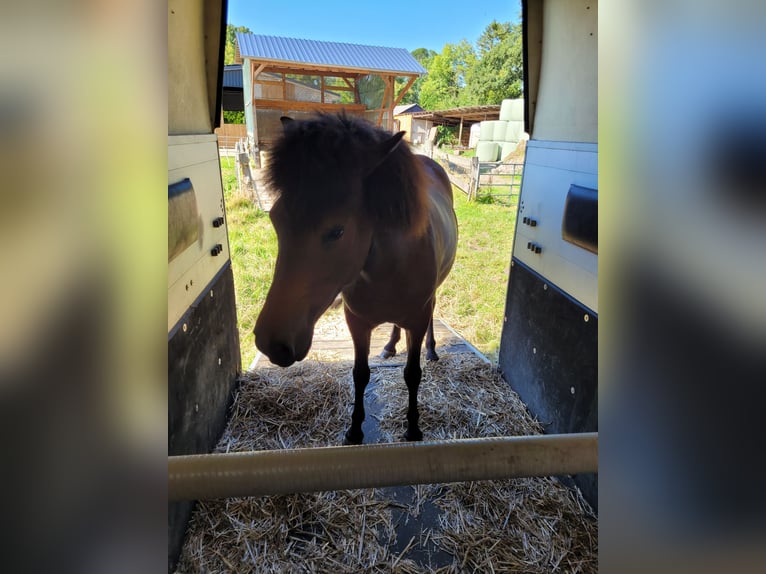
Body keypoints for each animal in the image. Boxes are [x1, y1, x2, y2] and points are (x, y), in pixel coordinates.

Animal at [255, 113, 456, 446]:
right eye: (275, 219)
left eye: (337, 231)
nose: (272, 343)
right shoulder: (357, 322)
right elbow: (360, 374)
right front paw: (354, 430)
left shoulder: (416, 319)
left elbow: (412, 373)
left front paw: (413, 428)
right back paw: (389, 345)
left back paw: (431, 348)